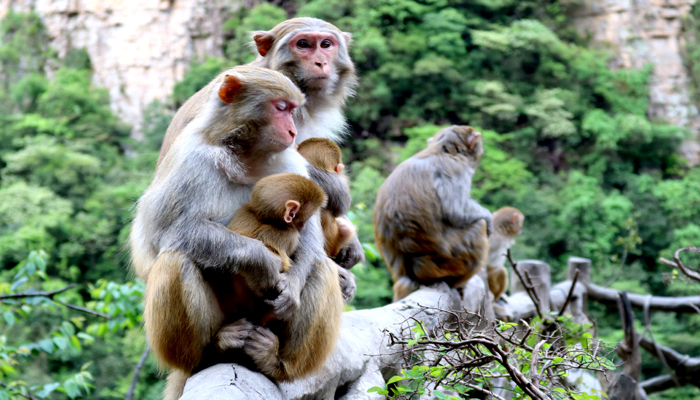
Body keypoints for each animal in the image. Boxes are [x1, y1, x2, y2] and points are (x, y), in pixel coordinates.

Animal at [128, 66, 350, 400]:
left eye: (292, 110)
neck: (245, 155)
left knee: (320, 266)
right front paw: (260, 261)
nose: (292, 131)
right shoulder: (190, 157)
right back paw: (210, 352)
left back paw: (276, 363)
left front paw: (290, 288)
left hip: (266, 321)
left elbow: (310, 238)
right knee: (175, 258)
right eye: (281, 108)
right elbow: (164, 232)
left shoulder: (292, 160)